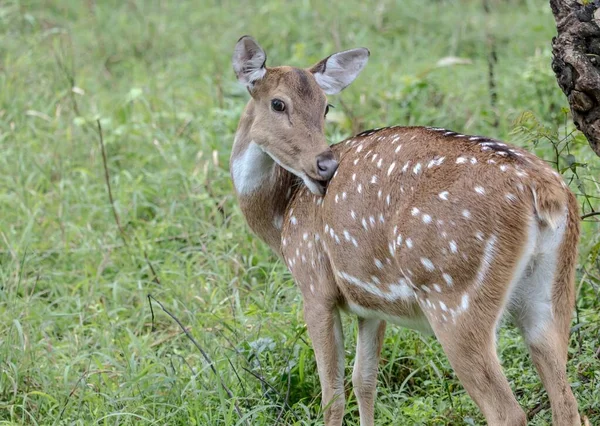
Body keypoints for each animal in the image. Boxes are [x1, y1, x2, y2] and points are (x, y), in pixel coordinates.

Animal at [229, 35, 580, 424]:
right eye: (278, 103)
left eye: (325, 106)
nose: (325, 165)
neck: (282, 218)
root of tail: (546, 192)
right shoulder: (370, 301)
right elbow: (364, 380)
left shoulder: (313, 283)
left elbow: (332, 395)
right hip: (552, 290)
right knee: (567, 400)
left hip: (453, 294)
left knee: (508, 411)